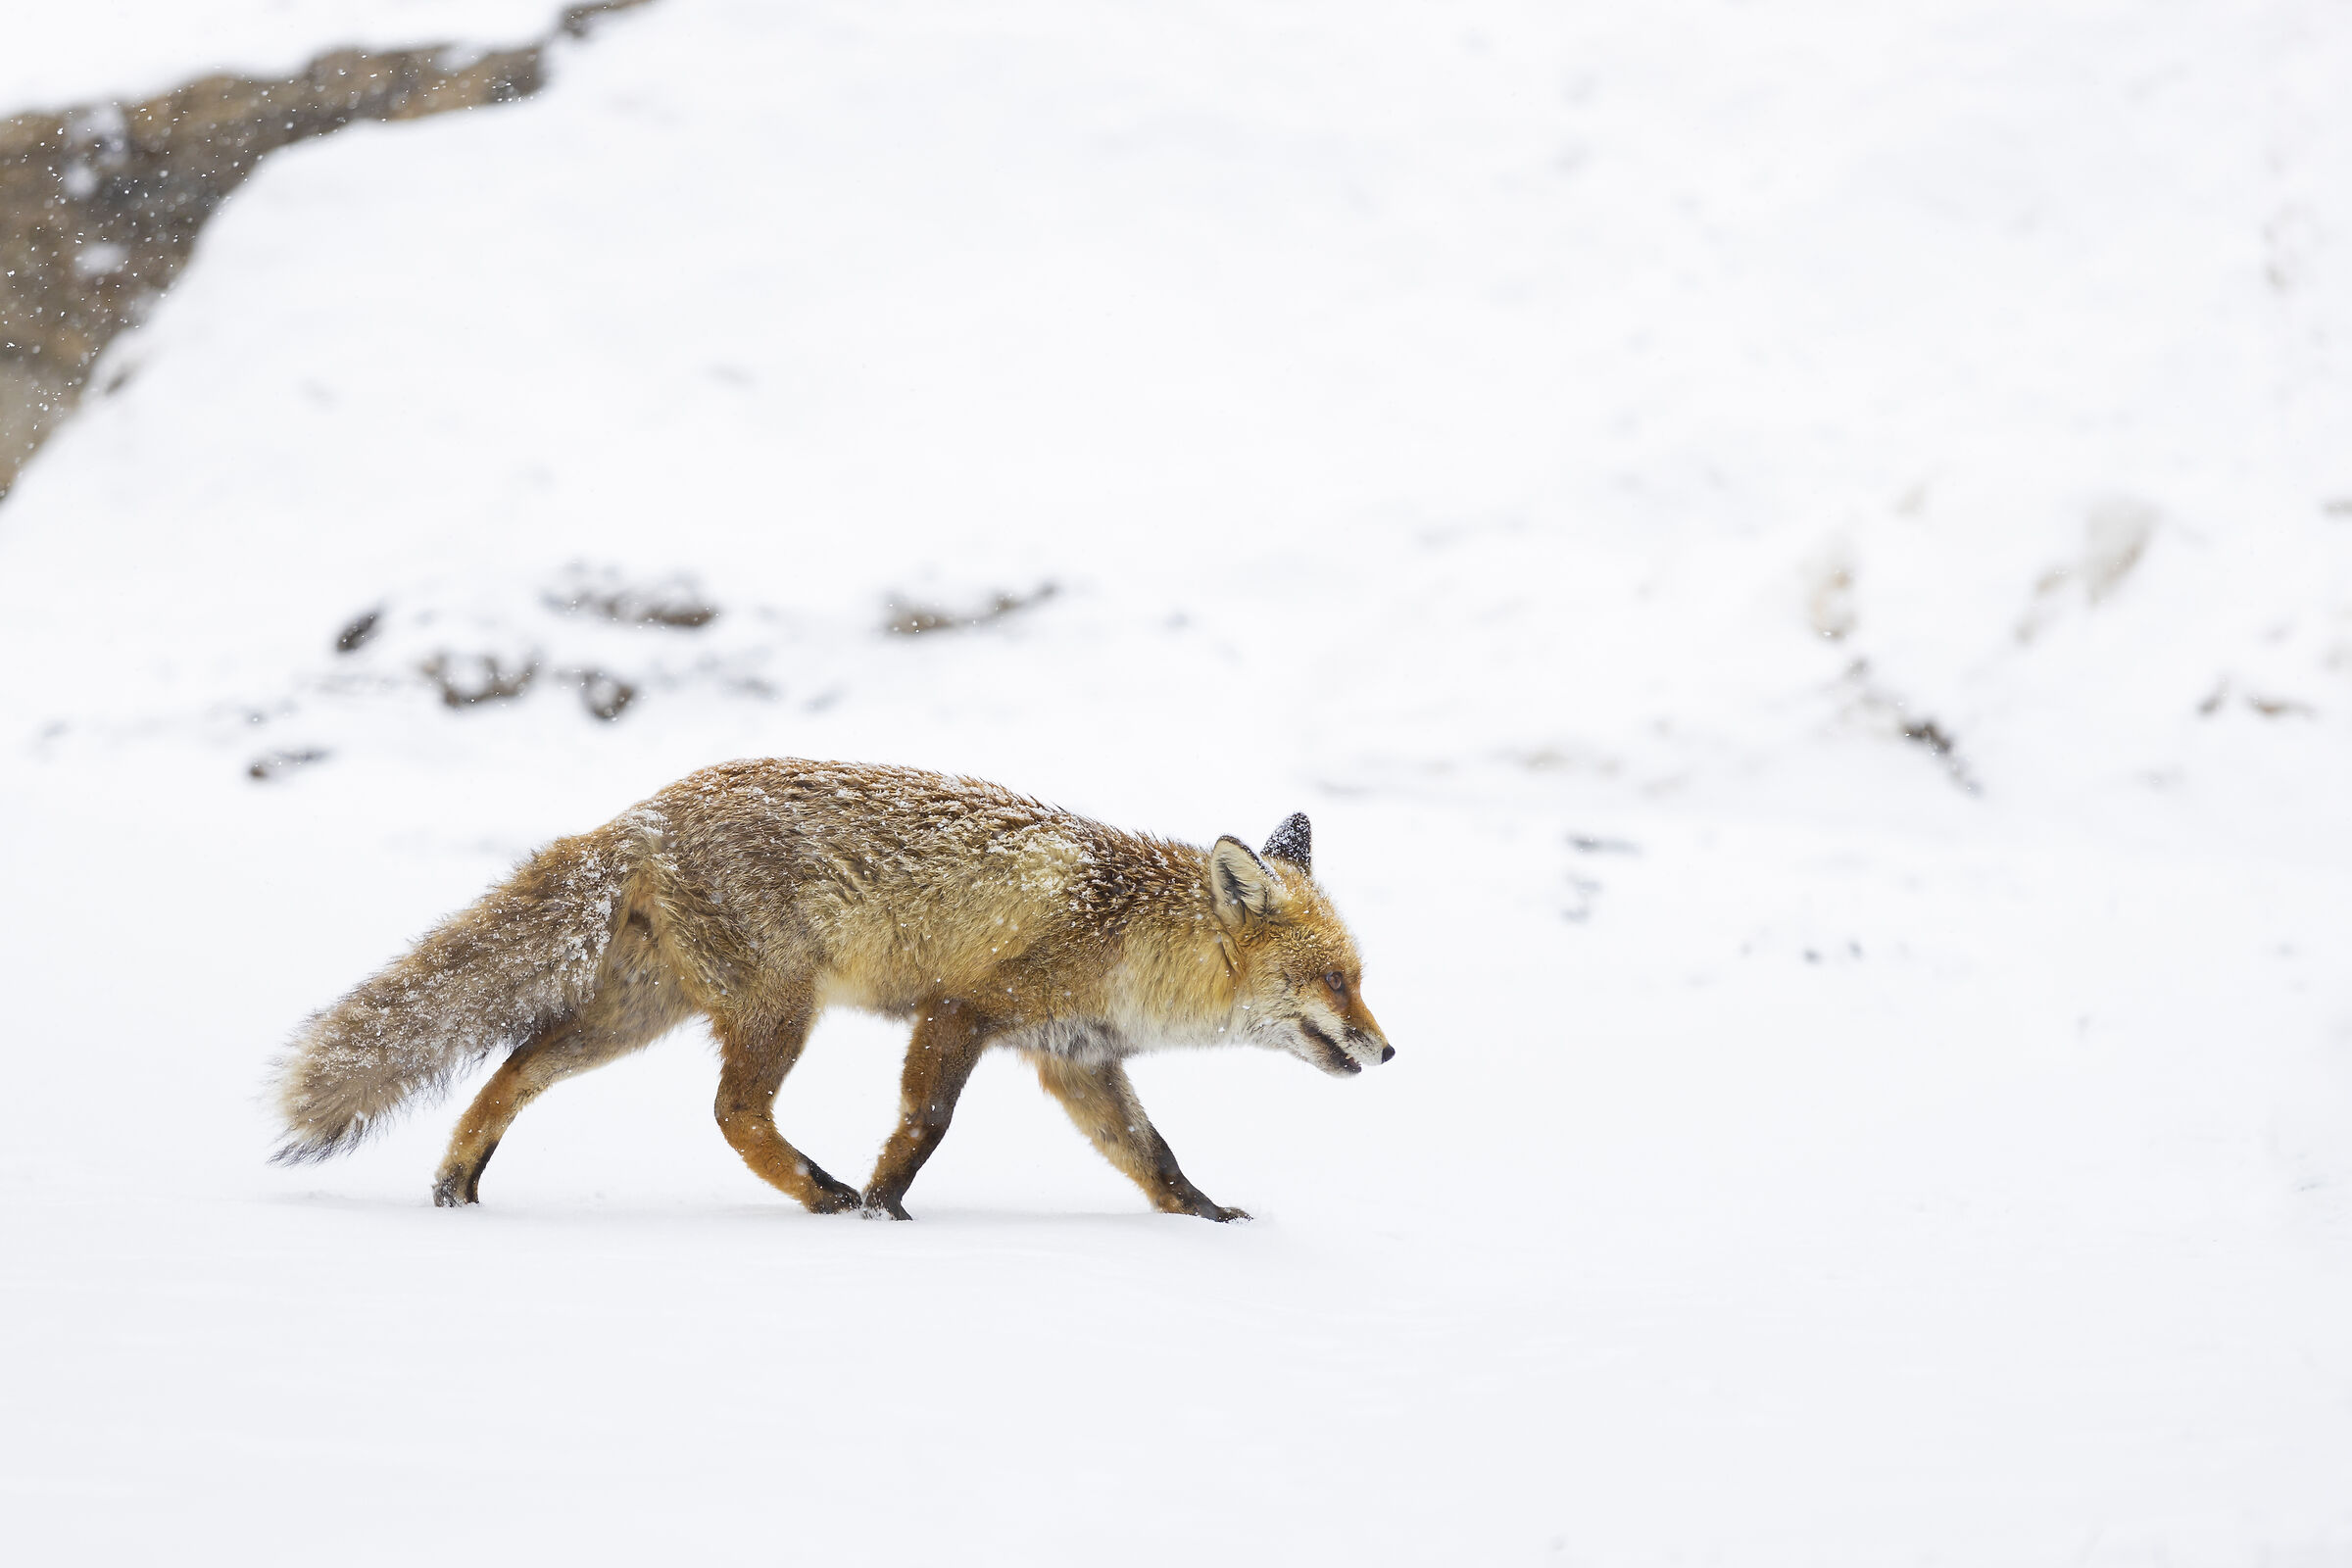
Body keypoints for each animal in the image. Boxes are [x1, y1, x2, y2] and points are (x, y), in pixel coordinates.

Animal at [271, 758, 1393, 1220]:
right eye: (1334, 979)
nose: (1389, 1051)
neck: (1121, 934)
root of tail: (643, 812)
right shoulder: (959, 1011)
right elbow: (926, 1124)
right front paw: (885, 1208)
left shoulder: (1074, 1059)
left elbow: (1153, 1157)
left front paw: (1207, 1219)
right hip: (778, 1007)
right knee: (731, 1113)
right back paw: (821, 1190)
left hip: (635, 1017)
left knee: (514, 1068)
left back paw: (456, 1186)